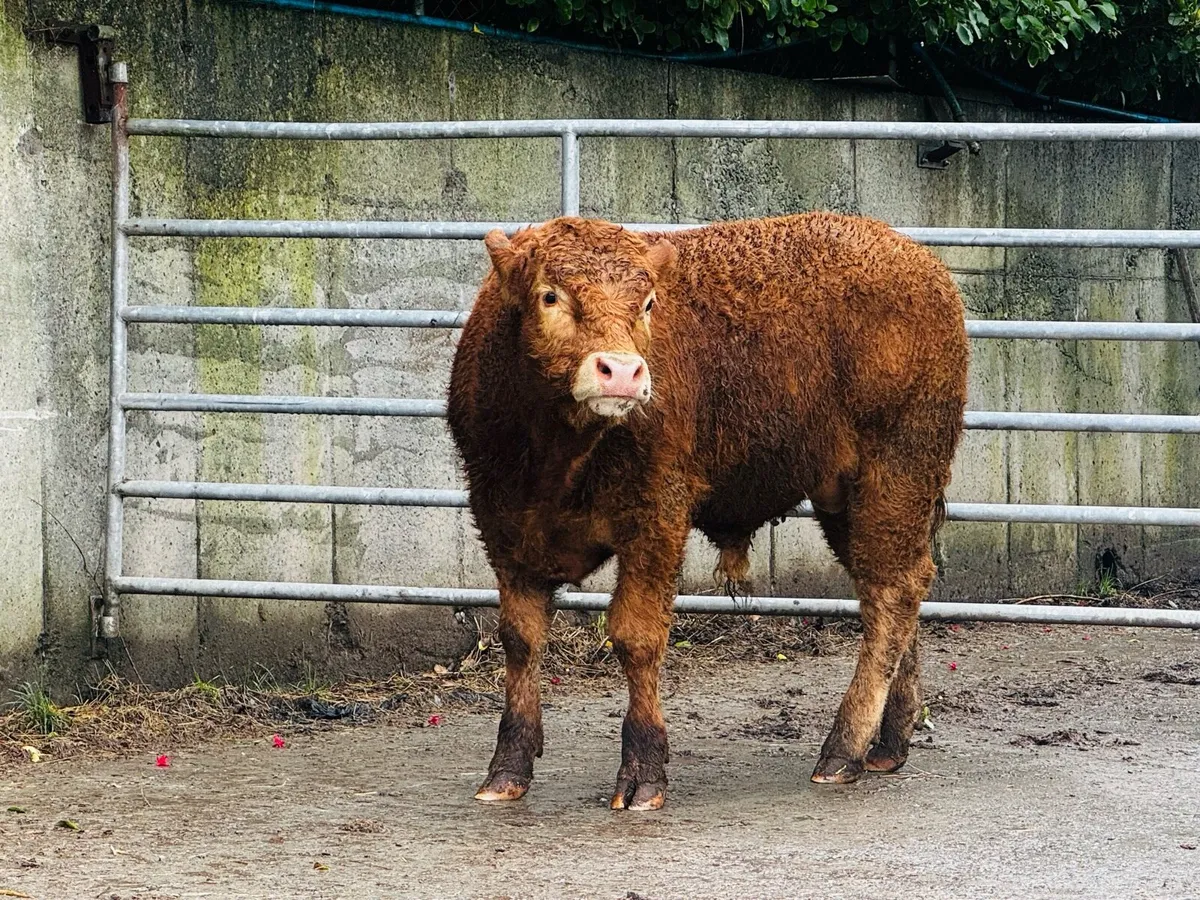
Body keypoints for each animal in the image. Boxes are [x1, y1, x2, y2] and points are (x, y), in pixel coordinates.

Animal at [447, 213, 969, 810]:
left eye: (649, 303)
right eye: (549, 294)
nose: (621, 372)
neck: (557, 456)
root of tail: (917, 258)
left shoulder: (656, 522)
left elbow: (636, 637)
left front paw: (643, 772)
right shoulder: (505, 528)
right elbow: (520, 639)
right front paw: (506, 769)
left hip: (896, 475)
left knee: (891, 593)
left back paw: (843, 749)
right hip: (848, 498)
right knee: (897, 585)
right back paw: (888, 742)